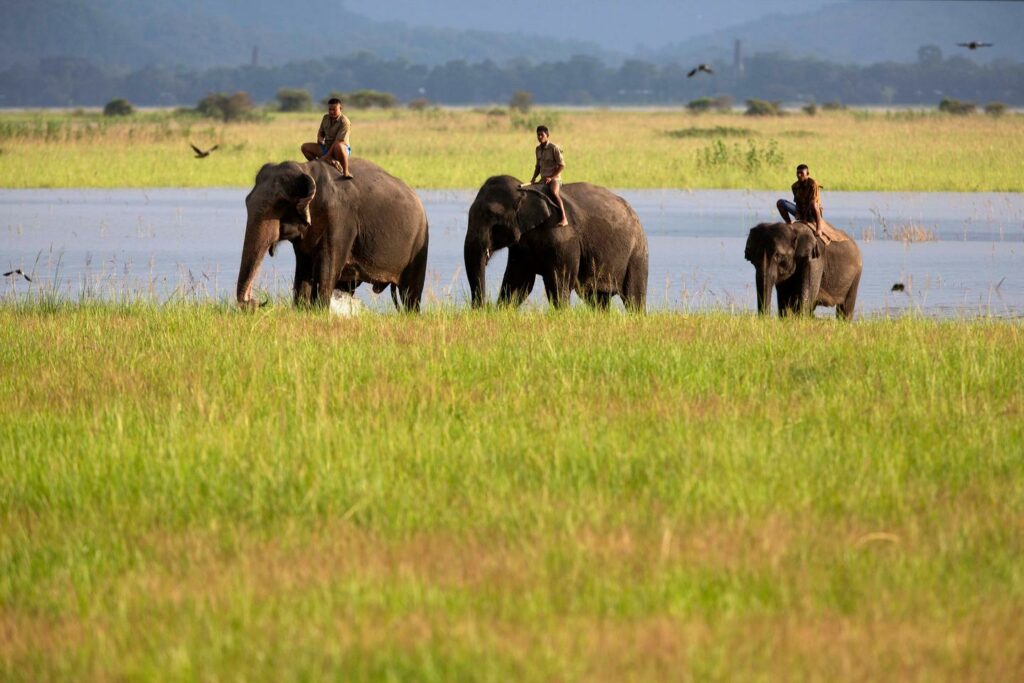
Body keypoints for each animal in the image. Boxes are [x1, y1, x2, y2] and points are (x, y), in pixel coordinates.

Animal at [235, 158, 428, 311]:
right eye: (246, 201)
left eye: (280, 204)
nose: (255, 302)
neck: (305, 169)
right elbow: (304, 266)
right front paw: (301, 311)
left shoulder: (340, 219)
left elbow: (328, 265)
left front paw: (319, 312)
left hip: (420, 241)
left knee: (410, 293)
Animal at [464, 175, 647, 311]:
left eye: (492, 216)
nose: (481, 309)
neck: (526, 190)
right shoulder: (522, 245)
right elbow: (519, 280)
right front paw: (502, 311)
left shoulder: (563, 236)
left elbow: (559, 281)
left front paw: (562, 314)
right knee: (596, 298)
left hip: (637, 252)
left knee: (633, 296)